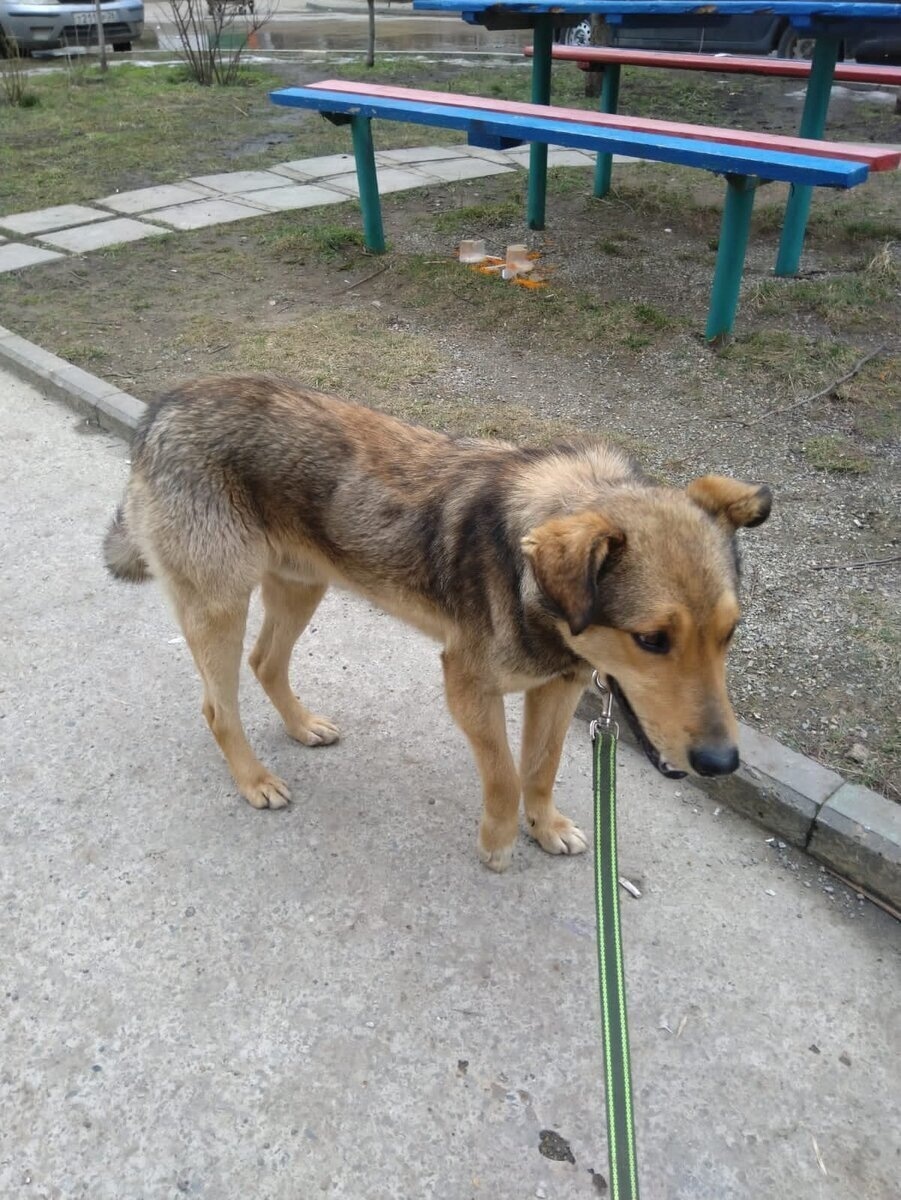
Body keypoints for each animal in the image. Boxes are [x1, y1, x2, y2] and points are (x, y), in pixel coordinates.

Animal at [104, 375, 771, 871]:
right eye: (652, 640)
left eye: (729, 634)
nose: (722, 763)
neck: (531, 579)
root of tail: (162, 411)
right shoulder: (467, 687)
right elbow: (504, 775)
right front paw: (499, 841)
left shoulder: (557, 688)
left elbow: (541, 766)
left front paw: (544, 825)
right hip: (220, 606)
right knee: (219, 708)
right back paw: (253, 779)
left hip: (302, 585)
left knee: (265, 663)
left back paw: (301, 726)